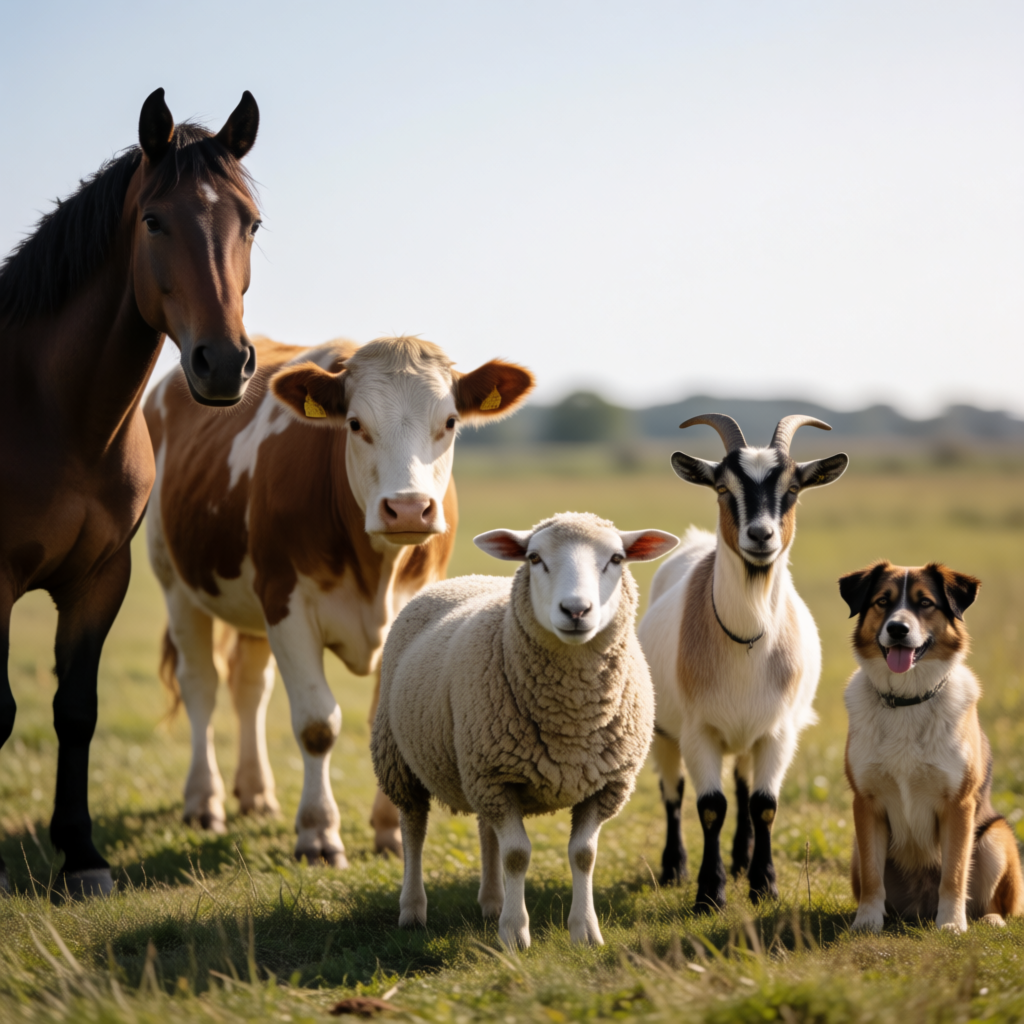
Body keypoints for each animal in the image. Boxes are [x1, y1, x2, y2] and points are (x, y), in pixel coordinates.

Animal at [0, 88, 262, 897]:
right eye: (153, 220)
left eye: (251, 222)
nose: (222, 363)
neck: (55, 411)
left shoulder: (99, 579)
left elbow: (75, 710)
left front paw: (81, 854)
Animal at [144, 335, 534, 864]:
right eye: (354, 424)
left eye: (450, 422)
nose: (407, 508)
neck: (377, 570)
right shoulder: (287, 605)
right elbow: (316, 724)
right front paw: (317, 833)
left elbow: (388, 717)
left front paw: (391, 832)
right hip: (176, 582)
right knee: (201, 685)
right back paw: (204, 801)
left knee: (249, 687)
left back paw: (256, 793)